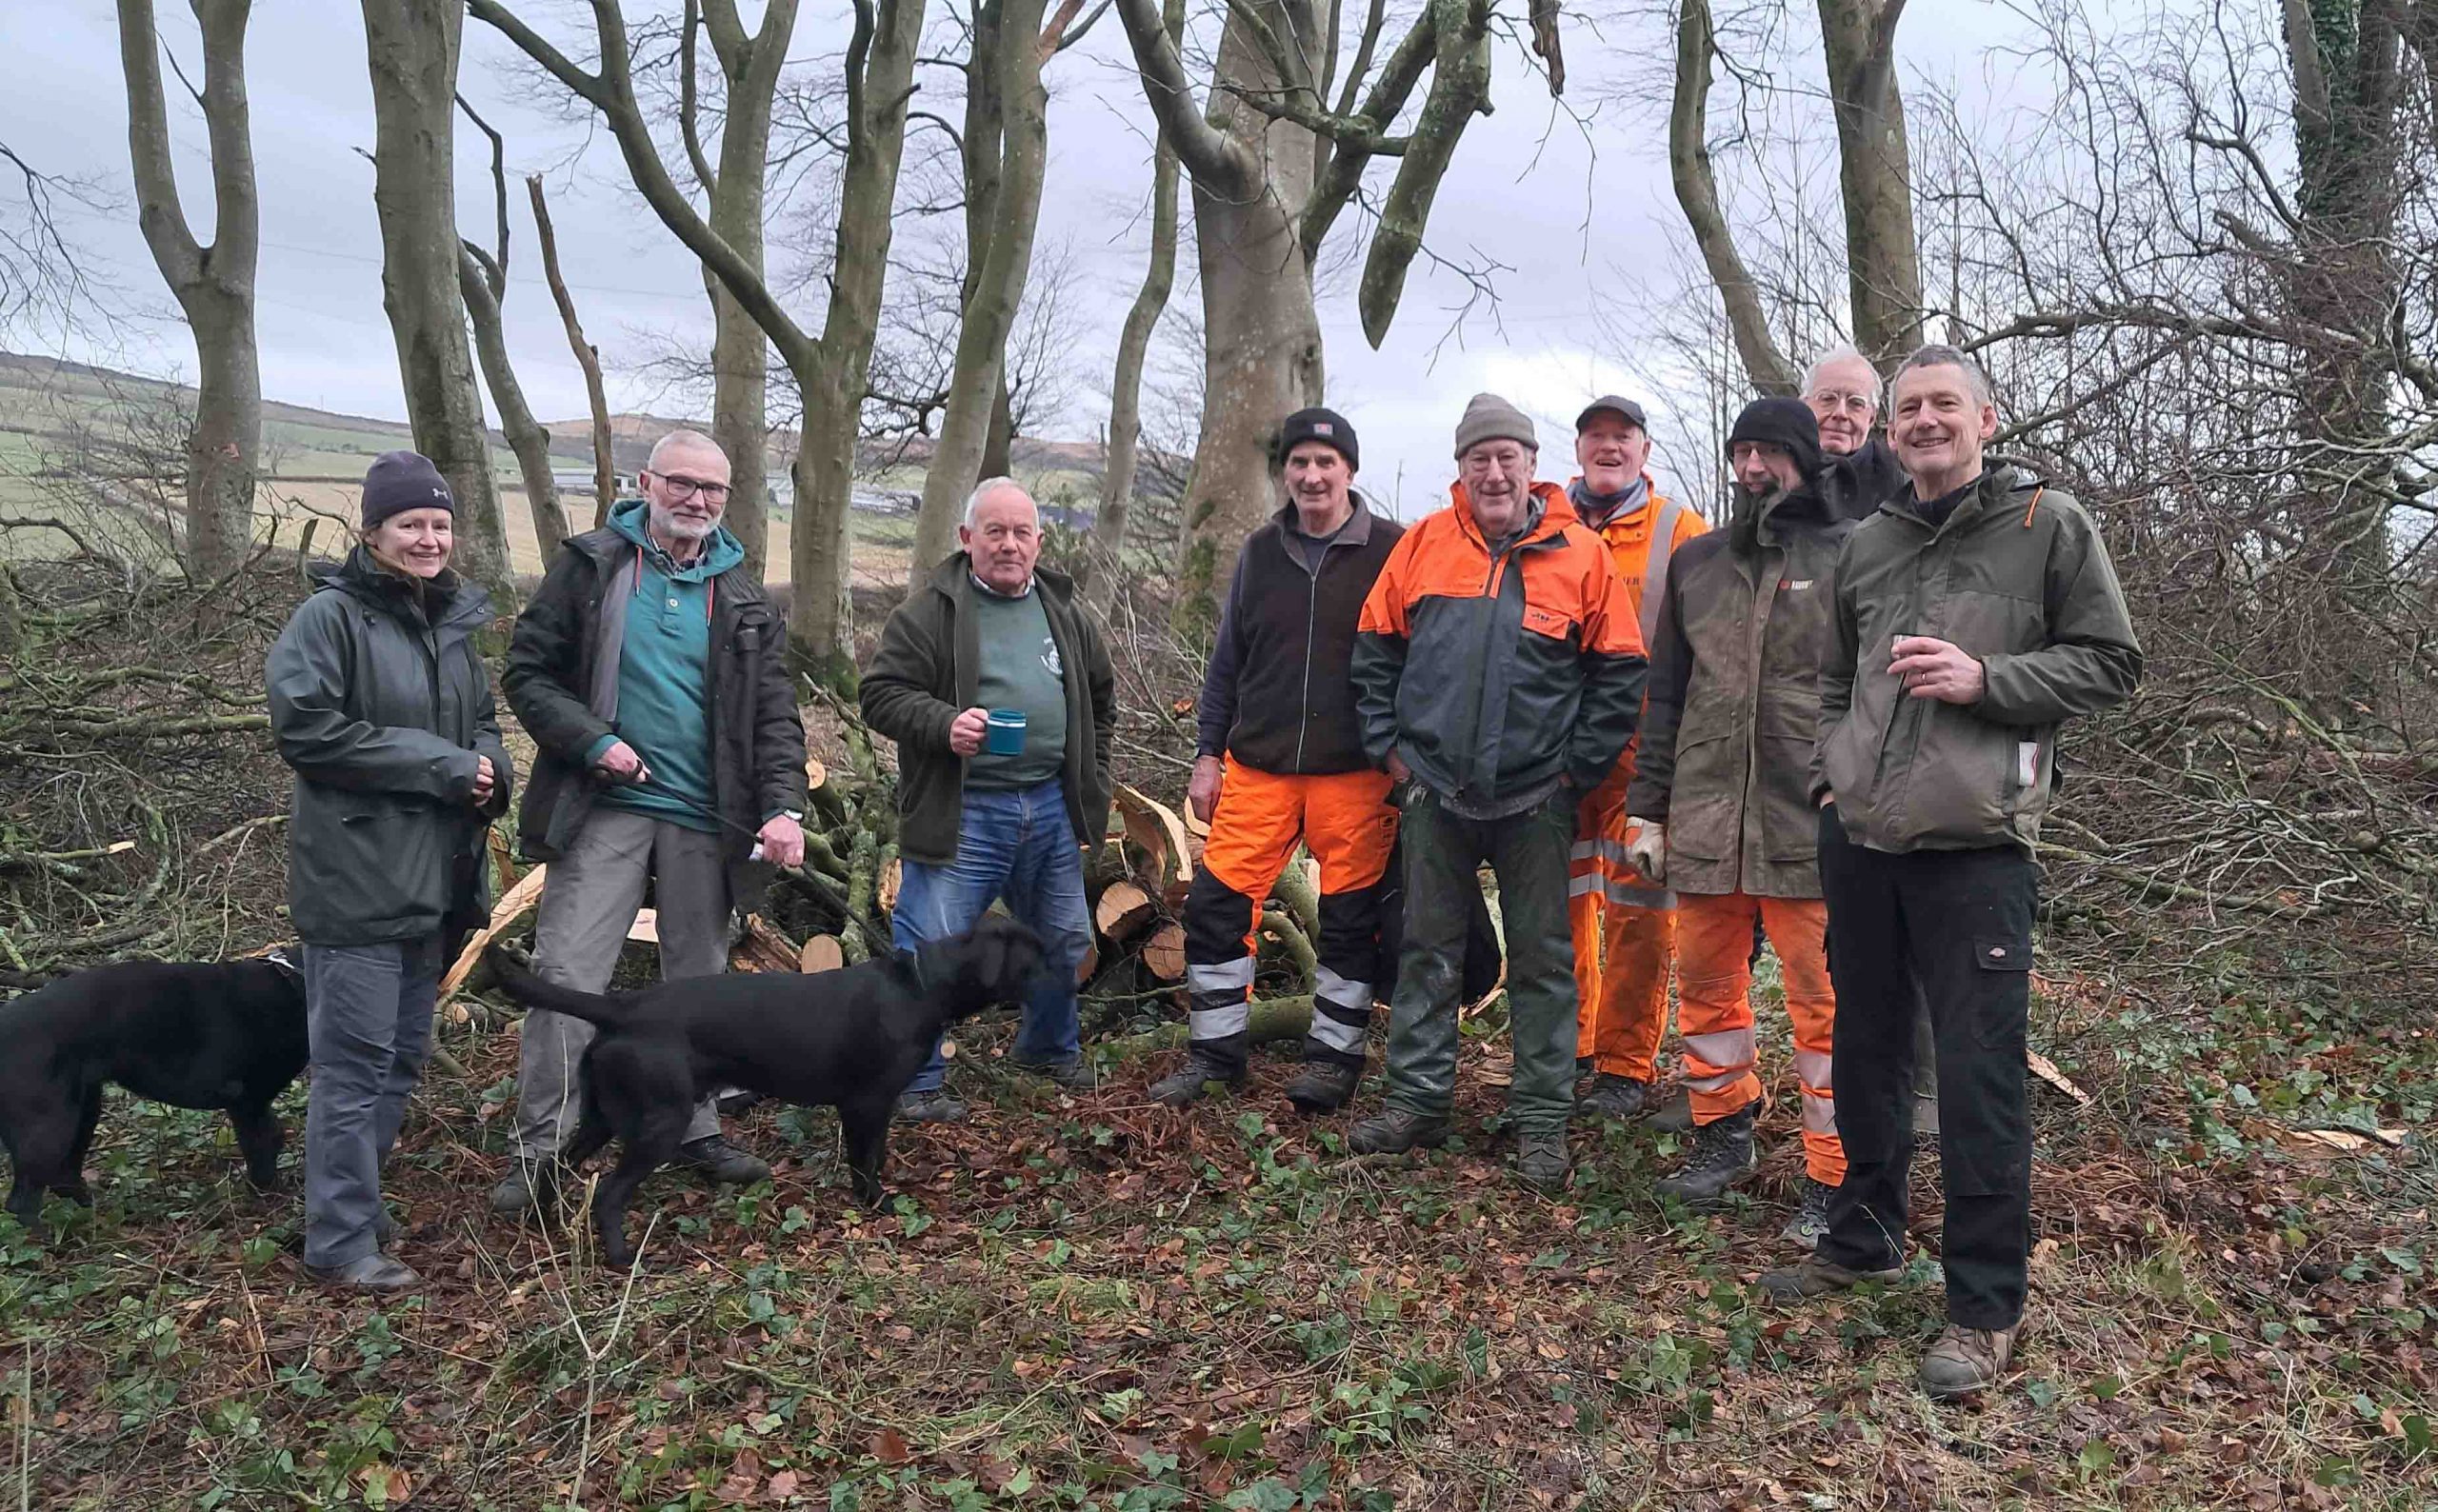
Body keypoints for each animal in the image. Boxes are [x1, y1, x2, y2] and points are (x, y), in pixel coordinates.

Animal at [1, 950, 310, 1234]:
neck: (292, 985)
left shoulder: (256, 1102)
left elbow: (273, 1138)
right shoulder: (247, 1100)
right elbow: (260, 1148)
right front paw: (266, 1200)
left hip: (84, 1108)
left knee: (63, 1177)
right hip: (50, 1125)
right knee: (23, 1202)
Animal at [482, 906, 1038, 1267]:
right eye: (1037, 957)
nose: (1059, 976)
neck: (919, 986)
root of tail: (622, 1006)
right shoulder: (869, 1103)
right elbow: (868, 1161)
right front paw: (879, 1207)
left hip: (604, 1115)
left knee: (554, 1166)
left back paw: (546, 1226)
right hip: (659, 1122)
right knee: (609, 1194)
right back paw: (623, 1259)